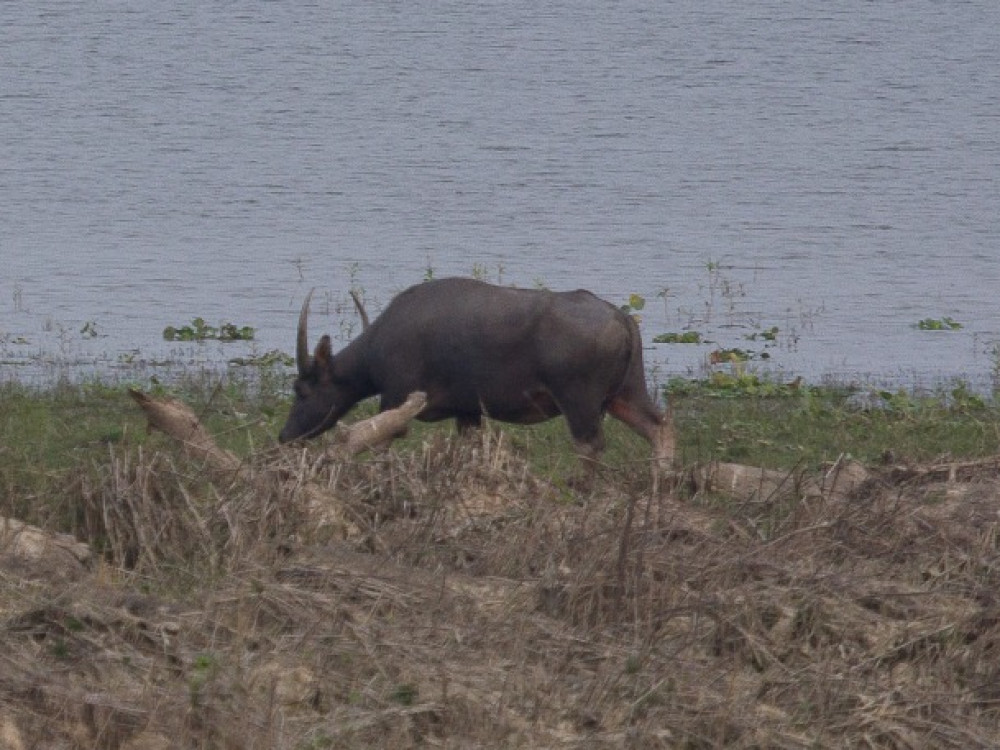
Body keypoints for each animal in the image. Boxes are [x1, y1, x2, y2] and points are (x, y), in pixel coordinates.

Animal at [278, 280, 676, 472]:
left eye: (301, 389)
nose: (285, 436)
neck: (377, 349)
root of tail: (623, 320)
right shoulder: (467, 412)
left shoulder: (395, 396)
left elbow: (380, 440)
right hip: (626, 393)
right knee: (659, 426)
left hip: (580, 401)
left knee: (589, 445)